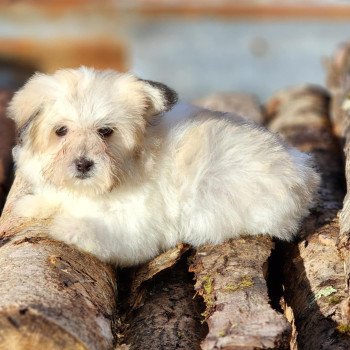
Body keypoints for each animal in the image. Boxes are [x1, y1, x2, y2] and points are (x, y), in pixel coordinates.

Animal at [7, 67, 320, 266]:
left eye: (106, 131)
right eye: (61, 131)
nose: (83, 164)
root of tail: (303, 172)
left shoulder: (137, 227)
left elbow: (104, 234)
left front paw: (69, 227)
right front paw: (34, 204)